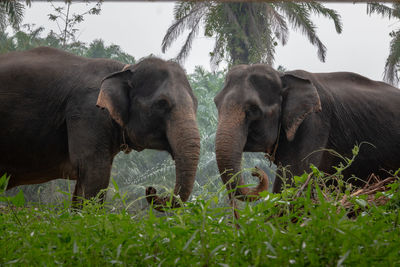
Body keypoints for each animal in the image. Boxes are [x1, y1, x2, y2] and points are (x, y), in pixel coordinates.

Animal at [0, 46, 200, 209]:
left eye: (196, 104)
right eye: (161, 104)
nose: (151, 189)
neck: (124, 70)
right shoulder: (88, 112)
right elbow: (95, 172)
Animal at [216, 63, 400, 201]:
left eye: (253, 109)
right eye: (216, 103)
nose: (255, 172)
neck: (283, 77)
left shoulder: (314, 122)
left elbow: (294, 180)